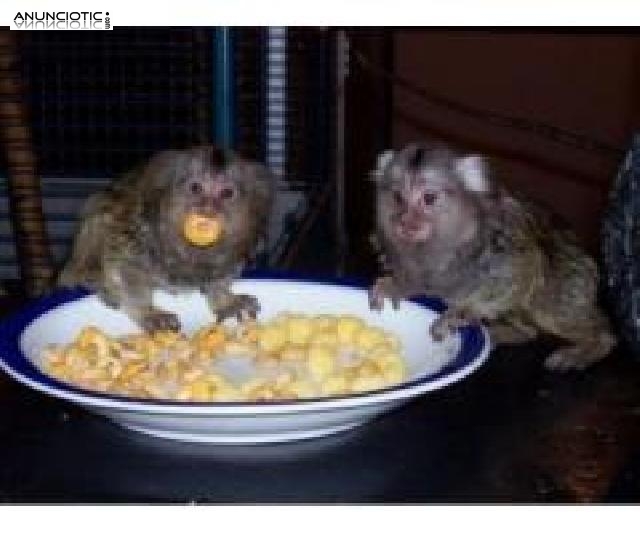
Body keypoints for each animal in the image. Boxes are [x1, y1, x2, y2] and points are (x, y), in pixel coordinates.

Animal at [58, 145, 274, 332]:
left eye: (227, 193)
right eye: (196, 188)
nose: (207, 208)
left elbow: (220, 278)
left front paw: (225, 300)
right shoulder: (139, 234)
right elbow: (125, 267)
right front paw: (148, 313)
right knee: (101, 214)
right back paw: (94, 280)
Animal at [369, 141, 616, 371]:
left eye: (428, 198)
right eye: (398, 197)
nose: (406, 221)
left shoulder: (503, 248)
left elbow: (525, 269)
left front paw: (463, 311)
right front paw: (396, 286)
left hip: (572, 276)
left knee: (548, 303)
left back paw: (592, 345)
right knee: (530, 326)